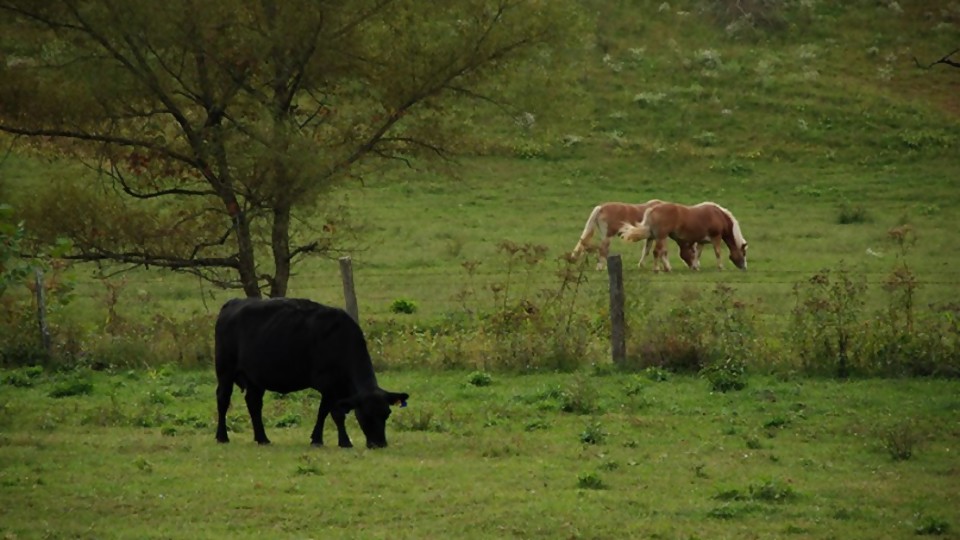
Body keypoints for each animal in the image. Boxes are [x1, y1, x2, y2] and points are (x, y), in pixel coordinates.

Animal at [214, 298, 408, 450]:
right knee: (223, 399)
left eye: (386, 414)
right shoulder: (329, 387)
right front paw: (341, 441)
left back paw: (262, 438)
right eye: (366, 414)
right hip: (225, 371)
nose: (380, 444)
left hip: (256, 378)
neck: (341, 341)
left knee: (254, 404)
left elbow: (326, 413)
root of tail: (234, 302)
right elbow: (333, 413)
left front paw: (320, 439)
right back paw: (222, 436)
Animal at [568, 199, 696, 270]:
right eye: (693, 252)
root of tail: (601, 208)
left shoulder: (651, 237)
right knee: (603, 250)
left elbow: (646, 251)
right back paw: (601, 268)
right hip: (608, 236)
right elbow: (663, 251)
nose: (694, 266)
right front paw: (667, 267)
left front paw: (641, 265)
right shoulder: (661, 236)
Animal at [620, 201, 748, 272]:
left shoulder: (701, 241)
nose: (744, 267)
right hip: (661, 237)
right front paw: (721, 267)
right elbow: (718, 252)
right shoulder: (716, 237)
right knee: (657, 252)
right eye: (743, 253)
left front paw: (695, 266)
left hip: (655, 236)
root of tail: (653, 209)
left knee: (653, 251)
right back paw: (657, 269)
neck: (718, 216)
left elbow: (697, 254)